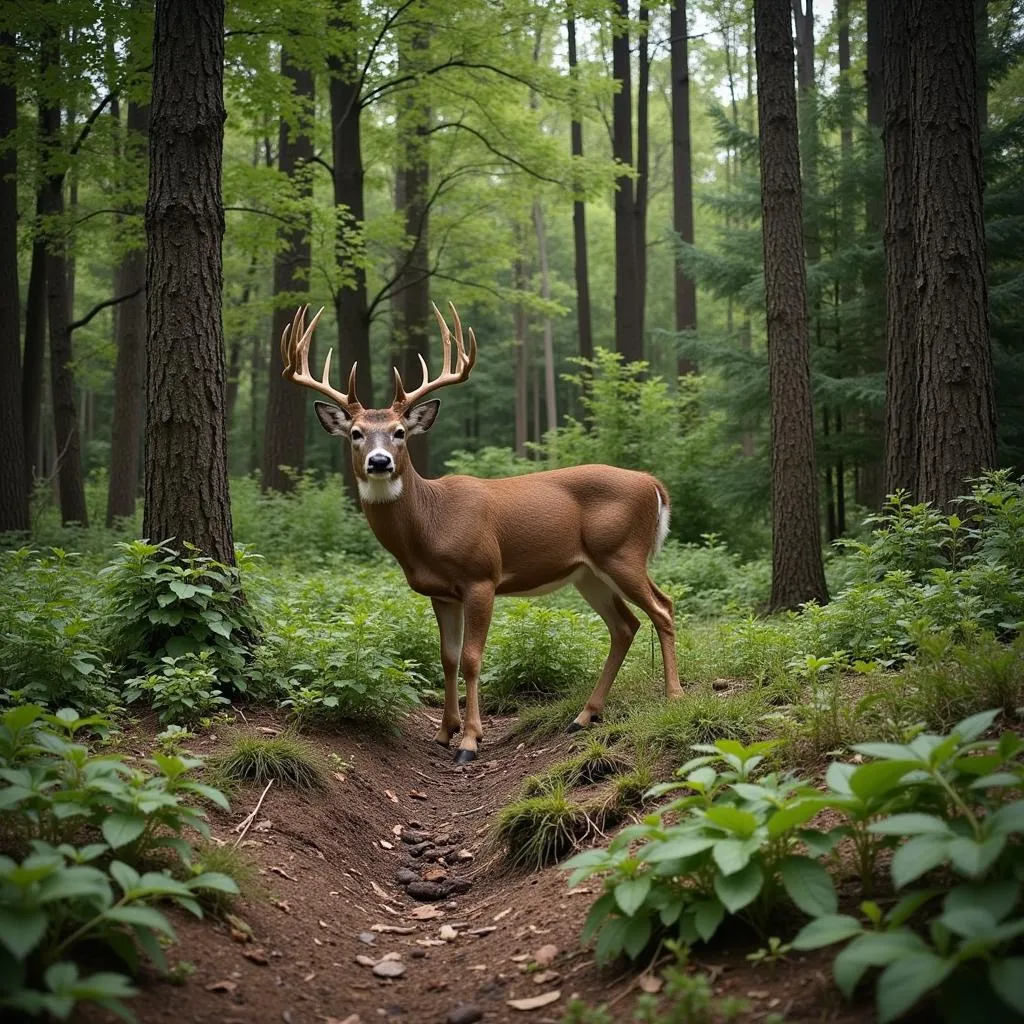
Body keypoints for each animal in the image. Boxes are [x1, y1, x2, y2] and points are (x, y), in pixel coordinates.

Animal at [280, 303, 684, 761]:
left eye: (400, 432)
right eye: (355, 433)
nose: (380, 461)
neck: (431, 525)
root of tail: (653, 484)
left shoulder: (481, 577)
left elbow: (473, 657)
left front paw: (470, 740)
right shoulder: (440, 592)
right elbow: (448, 657)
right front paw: (445, 731)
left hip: (623, 553)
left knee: (663, 607)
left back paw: (673, 696)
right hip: (588, 572)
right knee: (625, 625)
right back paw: (584, 716)